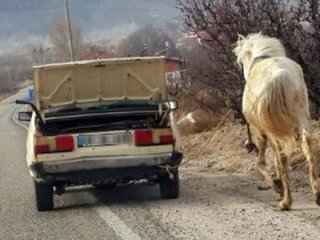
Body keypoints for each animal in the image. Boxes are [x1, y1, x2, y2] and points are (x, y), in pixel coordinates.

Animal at [232, 33, 320, 210]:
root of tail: (280, 76)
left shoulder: (261, 131)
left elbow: (262, 161)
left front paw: (276, 184)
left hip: (274, 129)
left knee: (282, 156)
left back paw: (286, 201)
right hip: (302, 116)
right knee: (307, 146)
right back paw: (317, 195)